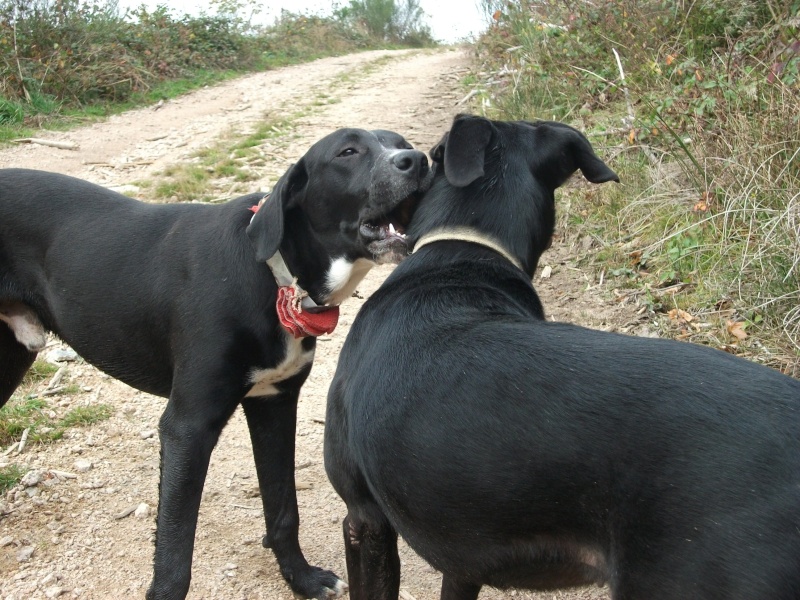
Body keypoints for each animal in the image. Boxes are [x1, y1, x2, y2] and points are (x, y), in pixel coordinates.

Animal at [0, 127, 432, 600]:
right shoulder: (188, 427)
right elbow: (174, 554)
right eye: (347, 151)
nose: (417, 160)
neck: (276, 277)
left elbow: (283, 510)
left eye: (400, 141)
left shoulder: (274, 403)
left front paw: (301, 579)